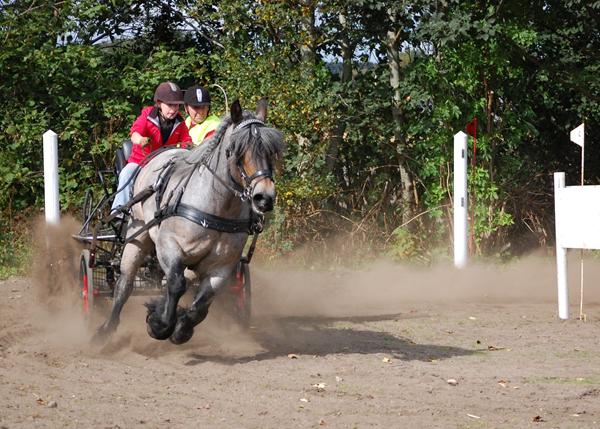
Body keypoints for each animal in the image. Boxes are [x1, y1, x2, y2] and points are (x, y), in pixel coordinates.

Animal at [95, 98, 286, 342]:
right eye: (236, 150)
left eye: (271, 151)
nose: (264, 197)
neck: (217, 207)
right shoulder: (168, 245)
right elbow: (176, 285)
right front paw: (159, 324)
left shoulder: (223, 266)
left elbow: (201, 304)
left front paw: (180, 327)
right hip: (137, 237)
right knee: (125, 284)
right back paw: (106, 329)